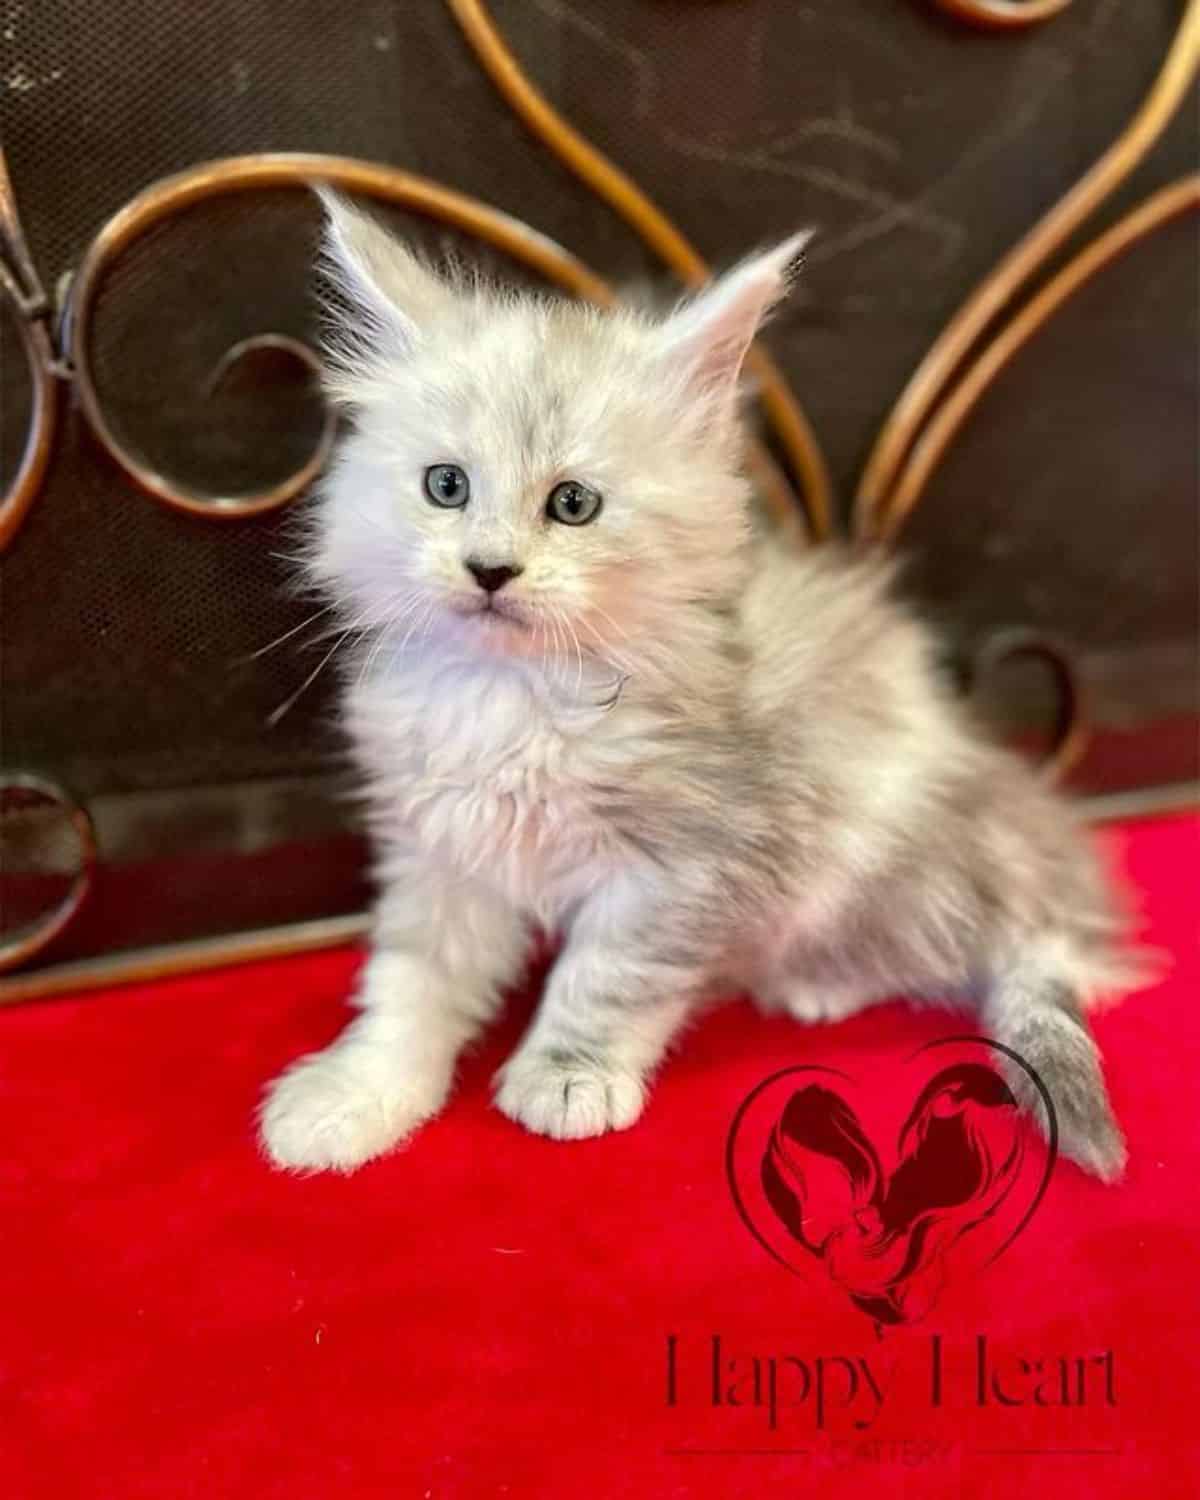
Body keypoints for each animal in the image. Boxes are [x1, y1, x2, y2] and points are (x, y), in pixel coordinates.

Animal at [259, 193, 1134, 1182]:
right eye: (446, 486)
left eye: (572, 504)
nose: (489, 570)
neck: (518, 696)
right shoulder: (441, 846)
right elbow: (409, 982)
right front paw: (358, 1092)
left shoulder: (684, 864)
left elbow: (606, 977)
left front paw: (569, 1074)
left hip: (868, 833)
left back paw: (814, 981)